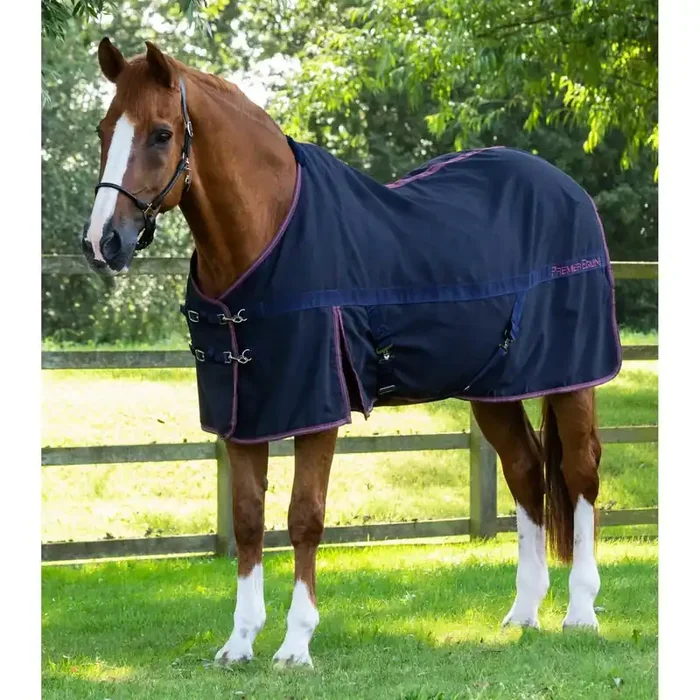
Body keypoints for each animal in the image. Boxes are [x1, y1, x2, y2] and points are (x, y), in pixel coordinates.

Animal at [81, 38, 621, 668]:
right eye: (104, 129)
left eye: (162, 133)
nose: (102, 242)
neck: (266, 235)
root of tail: (570, 190)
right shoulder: (245, 414)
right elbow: (247, 519)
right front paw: (239, 642)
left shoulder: (317, 411)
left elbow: (304, 518)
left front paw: (295, 644)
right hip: (493, 391)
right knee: (526, 471)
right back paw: (524, 613)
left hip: (572, 379)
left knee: (580, 472)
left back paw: (580, 612)